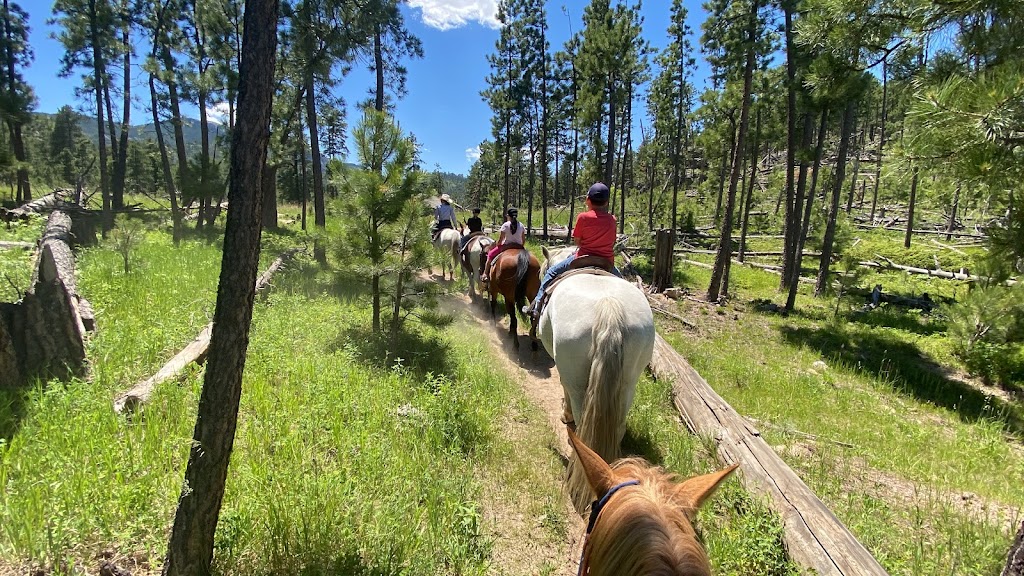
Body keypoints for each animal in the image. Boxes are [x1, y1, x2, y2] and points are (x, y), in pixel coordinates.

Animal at [536, 243, 655, 508]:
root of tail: (609, 305)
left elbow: (563, 386)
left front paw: (565, 413)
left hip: (579, 380)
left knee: (581, 420)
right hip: (628, 383)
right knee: (619, 424)